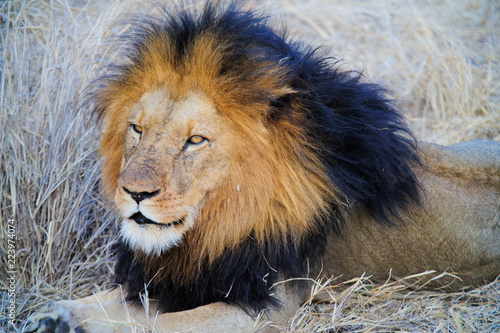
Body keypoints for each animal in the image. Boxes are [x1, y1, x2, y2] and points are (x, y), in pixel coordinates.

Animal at [25, 2, 498, 332]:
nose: (135, 193)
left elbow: (159, 323)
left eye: (195, 141)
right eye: (137, 129)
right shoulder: (179, 278)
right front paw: (53, 315)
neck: (212, 225)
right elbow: (110, 301)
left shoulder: (266, 305)